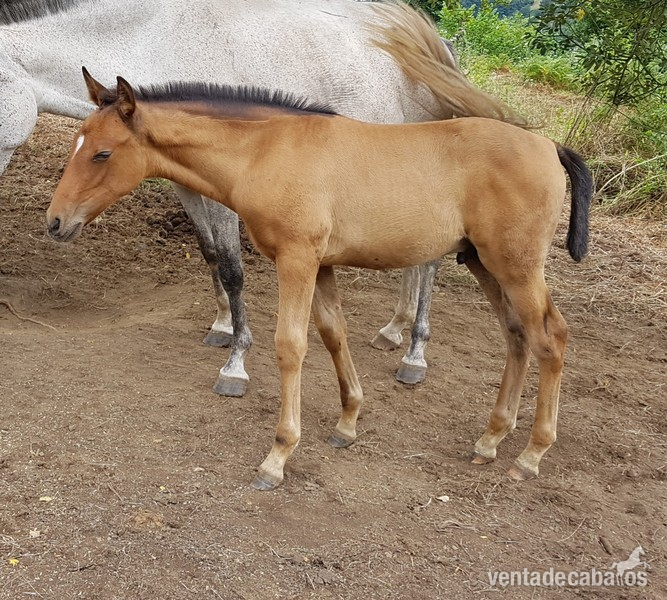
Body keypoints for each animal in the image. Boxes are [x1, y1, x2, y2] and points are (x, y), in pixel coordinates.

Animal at [0, 0, 524, 396]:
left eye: (101, 153)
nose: (55, 222)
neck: (152, 38)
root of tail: (436, 46)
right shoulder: (185, 182)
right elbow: (211, 253)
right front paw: (220, 327)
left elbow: (234, 268)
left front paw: (236, 363)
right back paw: (394, 329)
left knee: (431, 261)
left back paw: (415, 354)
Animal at [46, 71, 592, 490]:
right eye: (77, 145)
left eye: (102, 154)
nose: (55, 222)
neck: (266, 150)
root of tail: (550, 145)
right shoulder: (323, 264)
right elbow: (333, 334)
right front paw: (348, 422)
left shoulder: (297, 259)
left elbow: (291, 345)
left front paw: (278, 456)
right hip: (483, 263)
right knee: (517, 336)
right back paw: (491, 438)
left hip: (516, 266)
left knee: (552, 337)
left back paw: (532, 453)